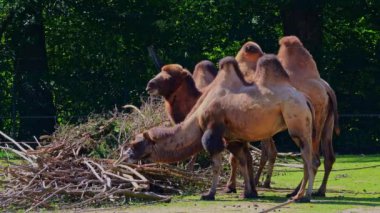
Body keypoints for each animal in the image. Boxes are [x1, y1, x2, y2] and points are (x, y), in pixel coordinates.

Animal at [123, 54, 316, 201]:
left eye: (135, 144)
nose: (125, 156)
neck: (198, 115)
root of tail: (305, 99)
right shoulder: (232, 138)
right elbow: (242, 160)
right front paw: (248, 192)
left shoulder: (212, 131)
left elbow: (216, 164)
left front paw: (209, 194)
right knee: (306, 157)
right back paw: (298, 194)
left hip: (296, 120)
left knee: (308, 158)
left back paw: (304, 196)